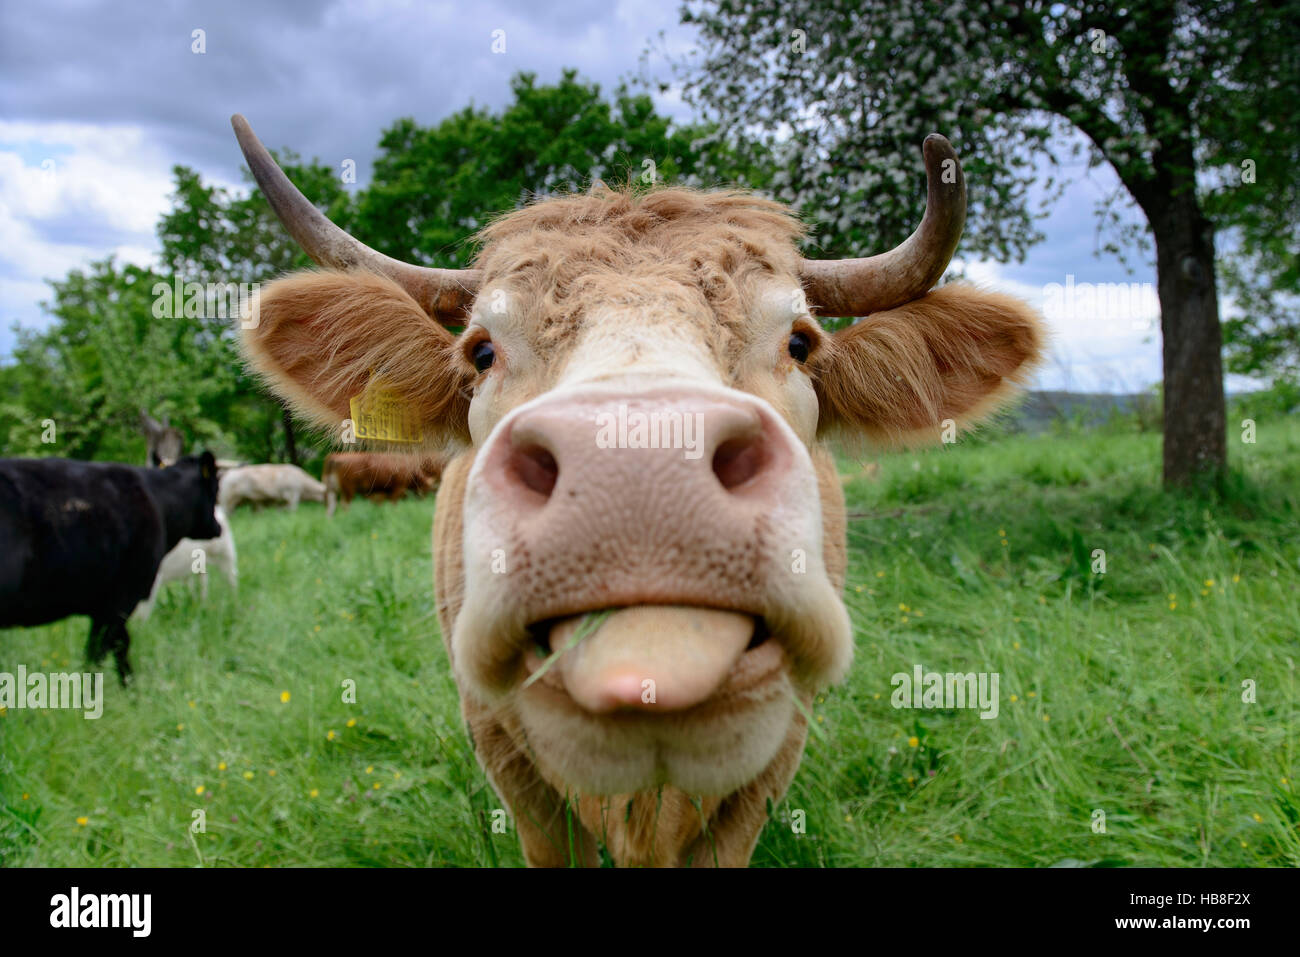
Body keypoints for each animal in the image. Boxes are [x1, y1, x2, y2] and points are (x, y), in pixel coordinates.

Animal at [0, 455, 219, 686]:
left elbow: (119, 645)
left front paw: (129, 686)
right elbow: (99, 652)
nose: (218, 527)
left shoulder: (106, 605)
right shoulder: (122, 599)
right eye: (215, 489)